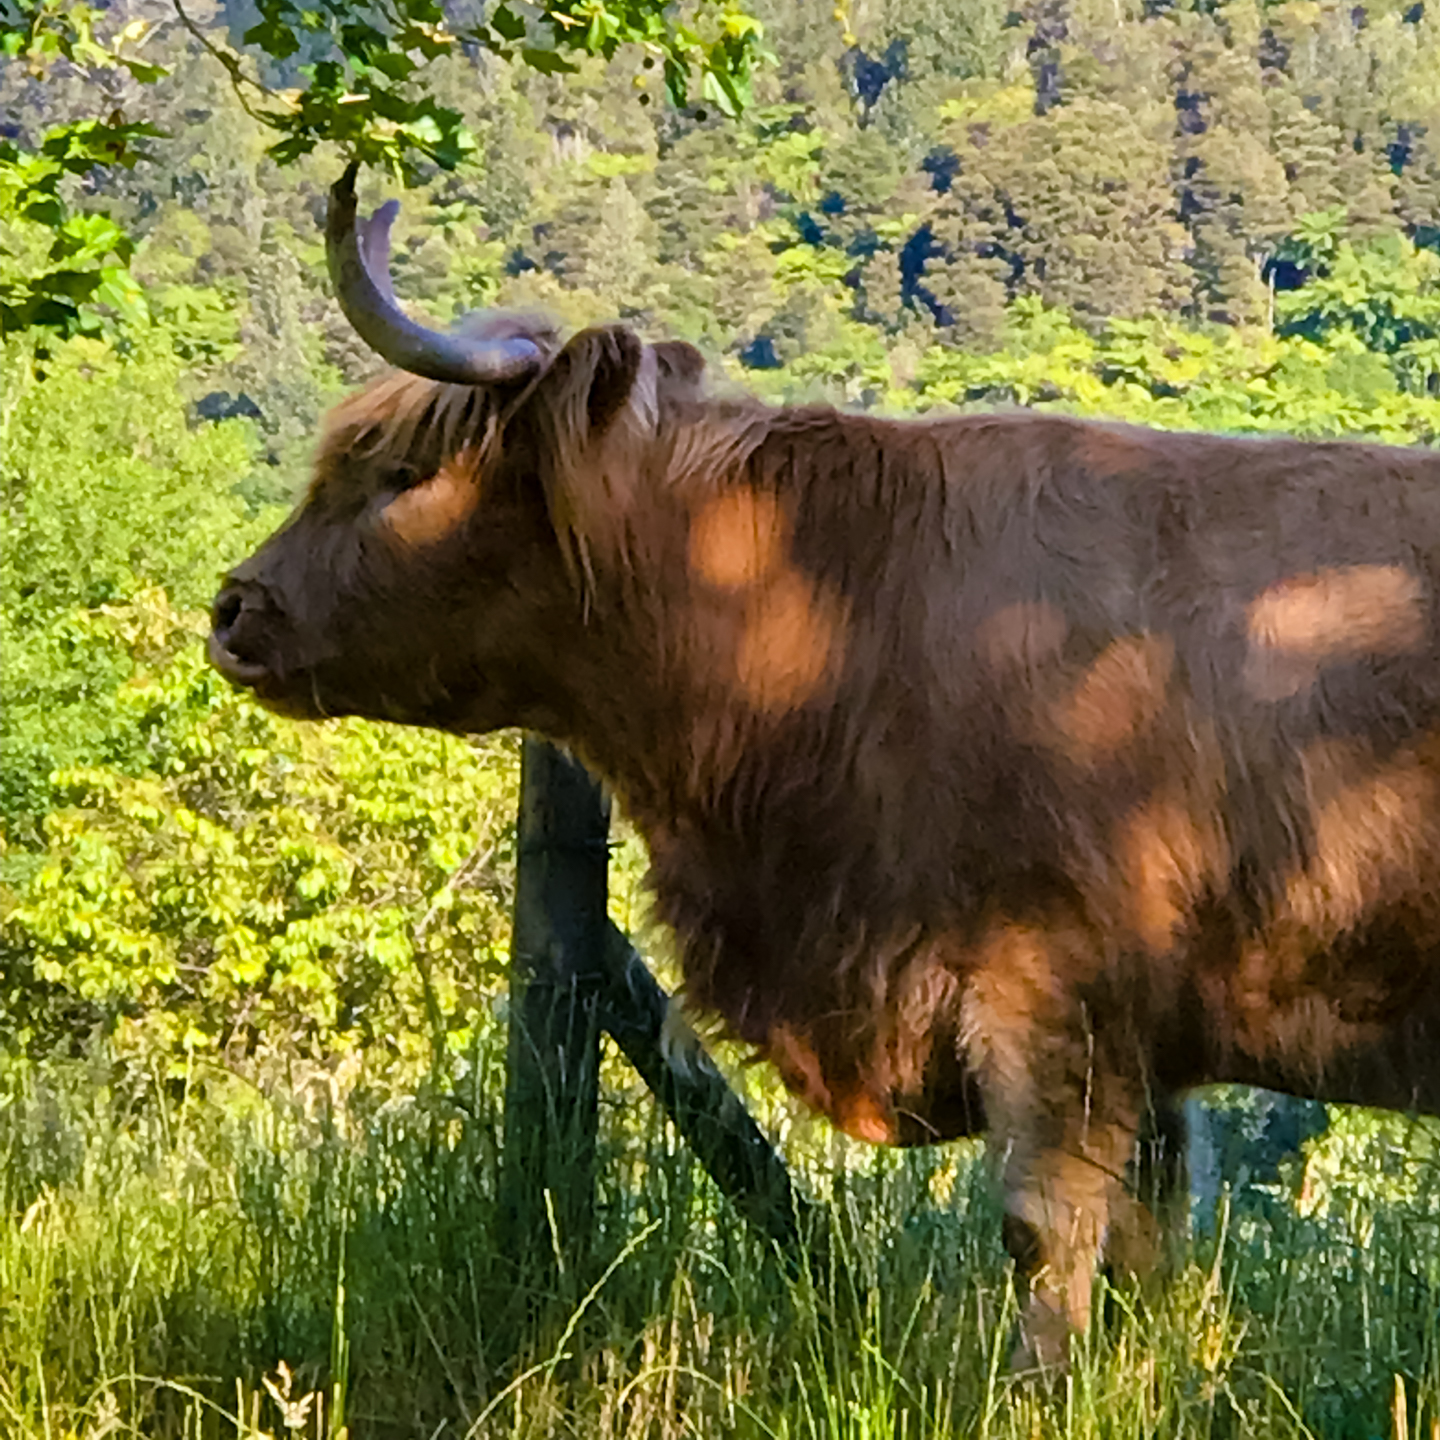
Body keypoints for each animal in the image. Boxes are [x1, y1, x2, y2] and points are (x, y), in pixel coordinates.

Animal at [208, 165, 1440, 1359]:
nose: (234, 608)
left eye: (402, 472)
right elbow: (1147, 1252)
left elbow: (1046, 1241)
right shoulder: (1149, 1045)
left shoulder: (1054, 992)